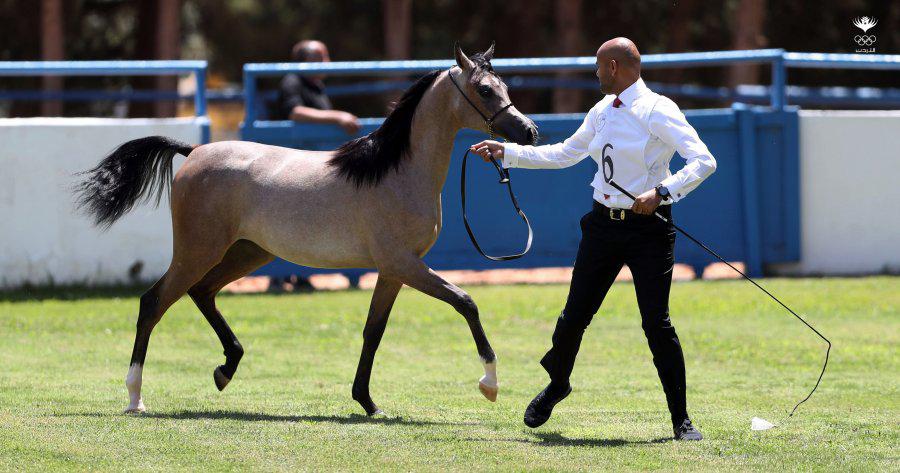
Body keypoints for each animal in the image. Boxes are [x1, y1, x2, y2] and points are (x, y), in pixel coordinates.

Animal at [75, 43, 536, 412]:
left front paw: (367, 402)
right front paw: (490, 384)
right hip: (198, 250)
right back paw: (135, 397)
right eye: (485, 90)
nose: (528, 131)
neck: (395, 171)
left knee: (201, 293)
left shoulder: (392, 271)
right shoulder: (404, 264)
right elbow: (465, 302)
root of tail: (195, 151)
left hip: (247, 252)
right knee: (153, 303)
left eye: (504, 86)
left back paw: (226, 369)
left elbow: (373, 331)